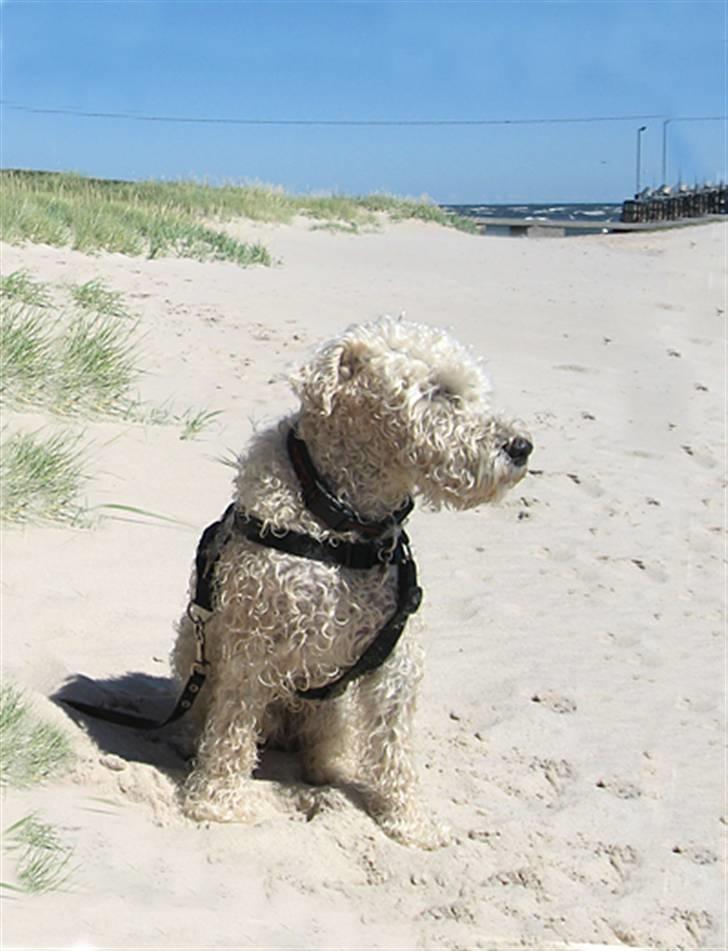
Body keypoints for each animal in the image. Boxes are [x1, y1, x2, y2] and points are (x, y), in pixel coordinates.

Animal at [173, 318, 532, 848]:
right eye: (440, 392)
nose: (522, 446)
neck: (342, 521)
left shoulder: (396, 660)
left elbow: (395, 750)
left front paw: (410, 821)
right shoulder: (251, 644)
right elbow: (232, 730)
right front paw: (218, 801)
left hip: (330, 710)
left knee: (325, 744)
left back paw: (328, 768)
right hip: (192, 649)